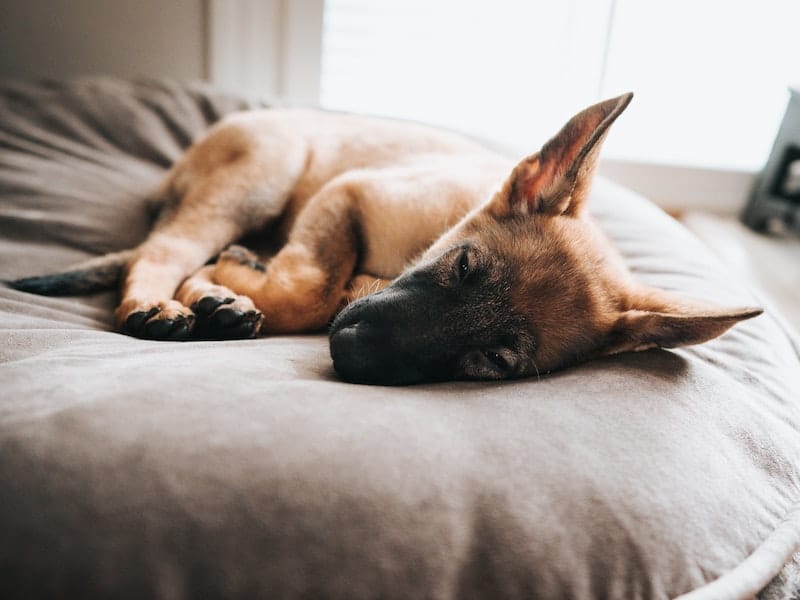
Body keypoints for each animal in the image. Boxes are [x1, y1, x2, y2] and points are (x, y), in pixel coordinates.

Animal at [10, 94, 764, 384]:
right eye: (464, 267)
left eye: (495, 359)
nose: (351, 351)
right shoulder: (350, 192)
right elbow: (309, 292)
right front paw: (220, 289)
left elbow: (316, 290)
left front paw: (225, 290)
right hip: (266, 173)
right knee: (160, 250)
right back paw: (157, 302)